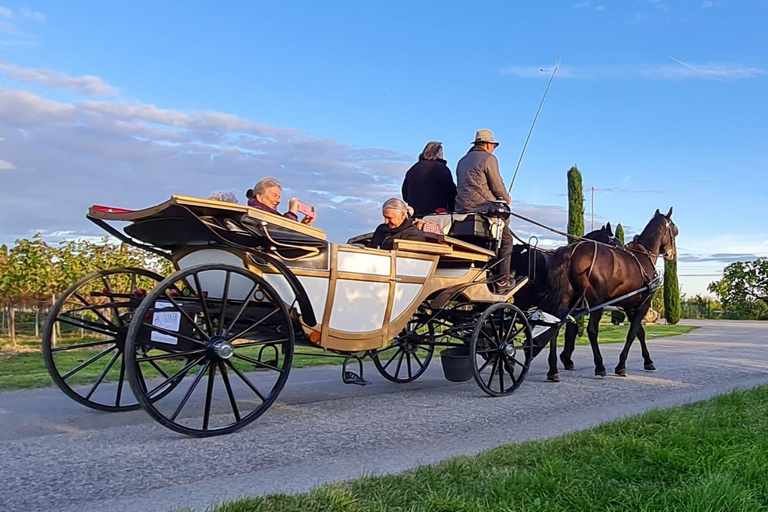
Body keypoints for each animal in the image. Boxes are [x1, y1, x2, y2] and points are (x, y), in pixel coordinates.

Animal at [540, 208, 680, 380]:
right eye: (674, 230)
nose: (672, 254)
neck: (643, 255)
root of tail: (572, 251)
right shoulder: (644, 304)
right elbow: (633, 333)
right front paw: (621, 365)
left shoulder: (630, 306)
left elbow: (640, 332)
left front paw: (648, 361)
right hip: (596, 302)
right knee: (592, 330)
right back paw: (599, 366)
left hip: (566, 298)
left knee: (555, 325)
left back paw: (553, 370)